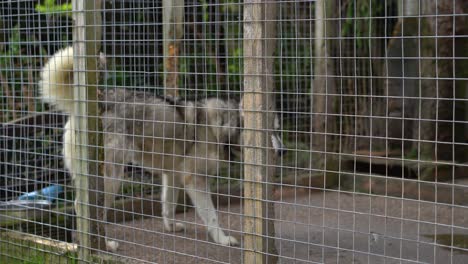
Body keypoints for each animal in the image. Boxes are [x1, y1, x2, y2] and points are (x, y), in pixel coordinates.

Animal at [39, 46, 286, 251]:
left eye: (277, 130)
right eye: (268, 133)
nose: (283, 152)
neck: (220, 127)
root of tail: (96, 101)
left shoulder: (173, 176)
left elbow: (168, 205)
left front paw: (170, 227)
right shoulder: (195, 180)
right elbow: (212, 216)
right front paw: (223, 239)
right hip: (112, 178)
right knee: (85, 208)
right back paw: (102, 244)